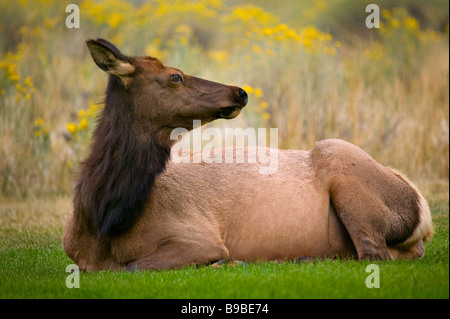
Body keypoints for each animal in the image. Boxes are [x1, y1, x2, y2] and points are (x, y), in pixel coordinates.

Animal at [62, 38, 432, 272]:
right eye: (175, 76)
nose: (239, 91)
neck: (103, 220)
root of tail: (423, 213)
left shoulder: (200, 239)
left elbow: (131, 268)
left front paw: (227, 262)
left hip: (342, 162)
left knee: (373, 254)